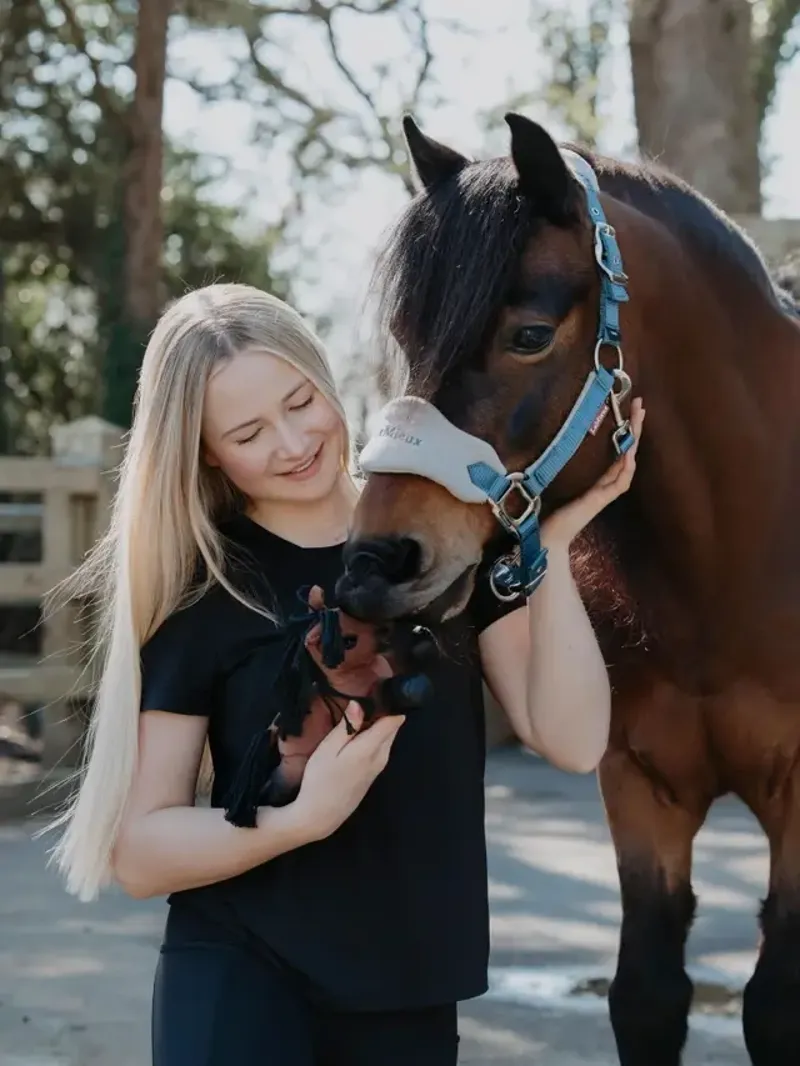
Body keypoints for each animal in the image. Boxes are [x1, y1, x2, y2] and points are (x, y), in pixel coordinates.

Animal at [333, 112, 800, 1066]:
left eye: (530, 333)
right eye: (405, 330)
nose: (377, 562)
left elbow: (776, 1006)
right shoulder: (642, 788)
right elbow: (647, 996)